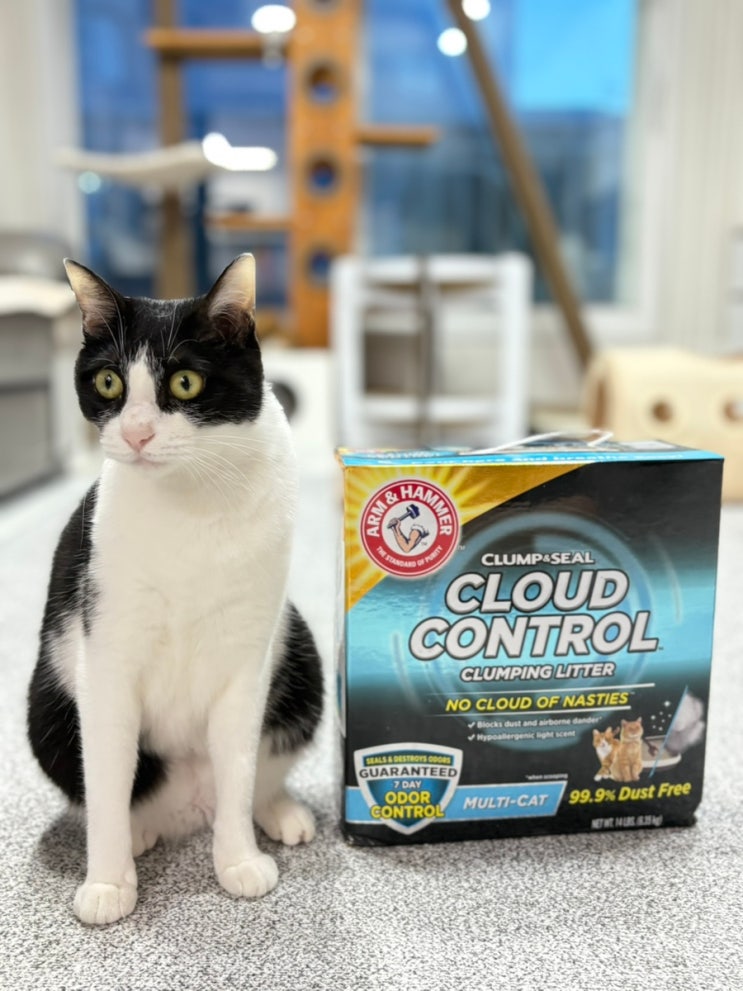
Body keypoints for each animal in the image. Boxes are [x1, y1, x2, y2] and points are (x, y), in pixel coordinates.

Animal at [27, 253, 323, 926]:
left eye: (185, 383)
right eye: (109, 383)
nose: (137, 433)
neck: (193, 498)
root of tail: (188, 807)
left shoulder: (246, 659)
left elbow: (239, 766)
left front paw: (238, 861)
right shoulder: (107, 656)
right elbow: (108, 778)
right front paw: (108, 883)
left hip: (301, 656)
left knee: (253, 774)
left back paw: (278, 812)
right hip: (46, 711)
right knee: (104, 785)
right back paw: (139, 833)